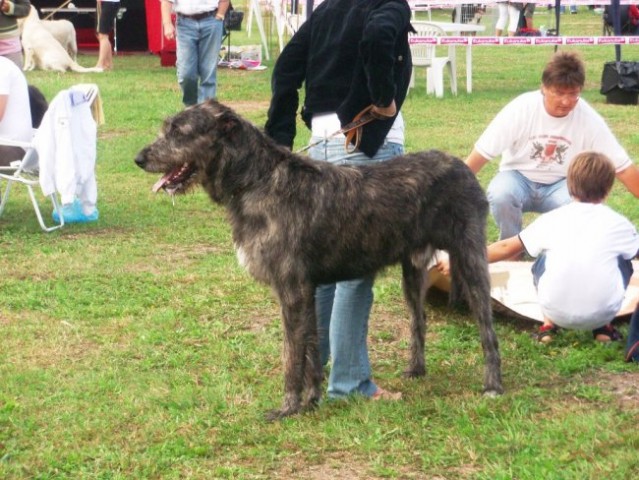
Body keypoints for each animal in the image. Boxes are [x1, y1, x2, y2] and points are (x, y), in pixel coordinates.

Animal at [136, 101, 504, 420]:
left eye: (178, 131)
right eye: (167, 128)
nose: (139, 158)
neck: (257, 180)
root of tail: (461, 166)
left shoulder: (291, 290)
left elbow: (291, 354)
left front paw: (288, 408)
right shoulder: (306, 290)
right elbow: (311, 348)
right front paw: (311, 399)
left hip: (470, 258)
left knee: (487, 327)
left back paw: (493, 385)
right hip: (413, 270)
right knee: (419, 320)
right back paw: (417, 368)